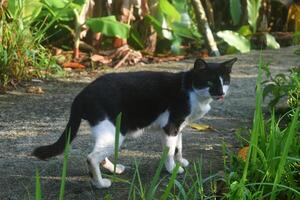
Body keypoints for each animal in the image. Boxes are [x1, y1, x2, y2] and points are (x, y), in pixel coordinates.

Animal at [32, 57, 238, 188]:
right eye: (210, 82)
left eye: (225, 81)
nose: (221, 92)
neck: (190, 89)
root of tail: (81, 95)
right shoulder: (171, 126)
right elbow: (170, 150)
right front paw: (172, 169)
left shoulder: (180, 126)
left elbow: (178, 147)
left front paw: (181, 162)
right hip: (114, 131)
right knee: (91, 157)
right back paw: (100, 184)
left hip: (110, 132)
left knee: (99, 153)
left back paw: (114, 169)